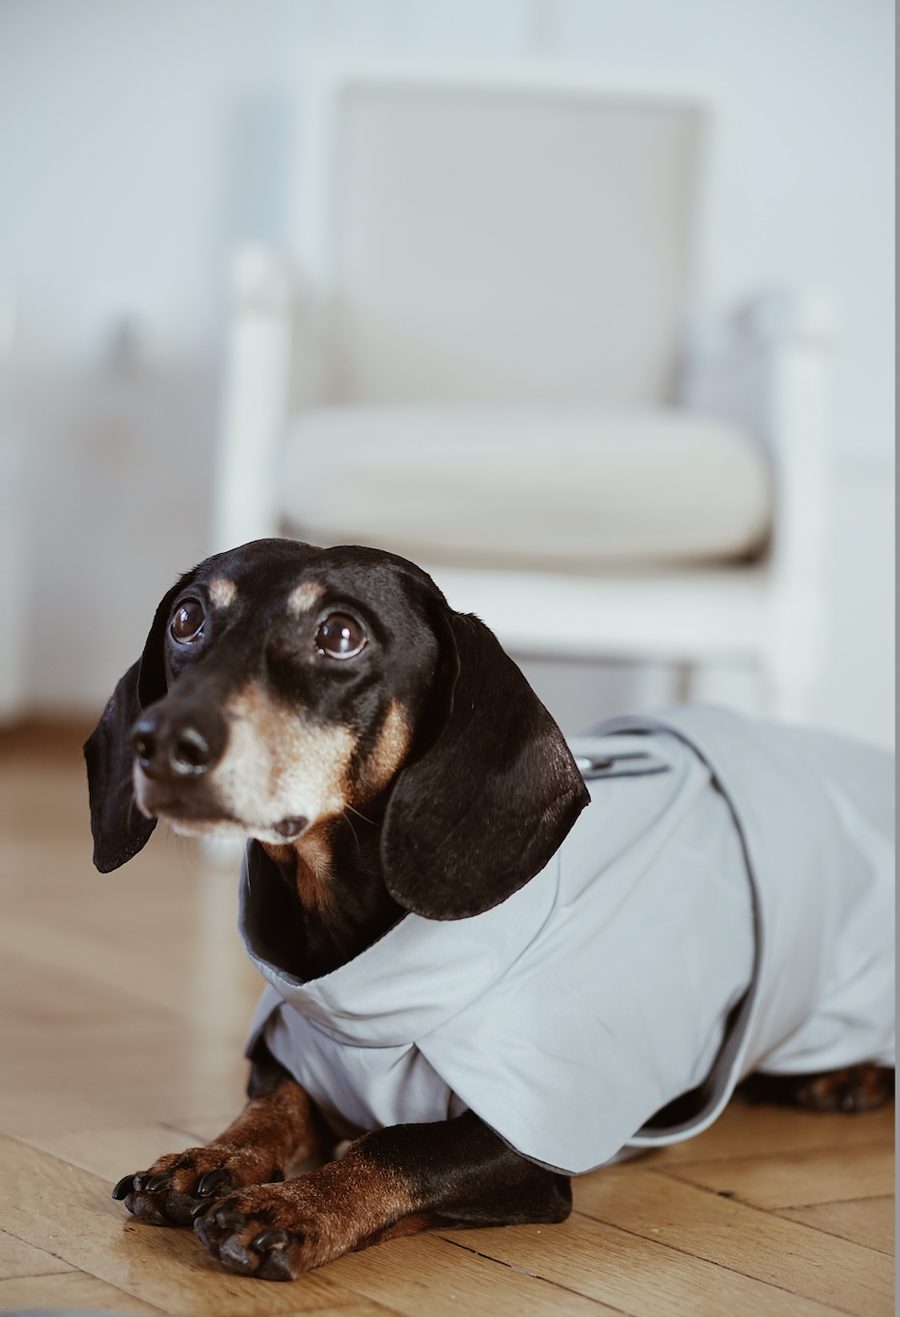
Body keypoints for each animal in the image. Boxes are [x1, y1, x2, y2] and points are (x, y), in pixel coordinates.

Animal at [86, 534, 896, 1274]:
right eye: (187, 618)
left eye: (340, 634)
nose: (161, 741)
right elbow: (270, 1108)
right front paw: (208, 1157)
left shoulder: (527, 1140)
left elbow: (398, 1146)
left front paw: (293, 1205)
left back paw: (850, 1075)